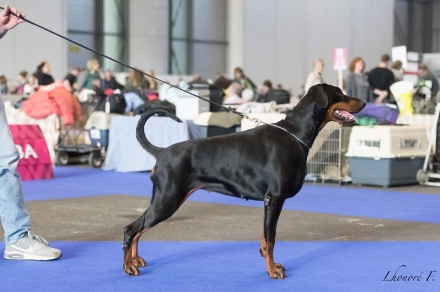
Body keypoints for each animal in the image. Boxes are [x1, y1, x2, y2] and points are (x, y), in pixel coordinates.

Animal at [122, 84, 366, 278]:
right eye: (338, 92)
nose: (364, 102)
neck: (295, 134)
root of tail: (162, 152)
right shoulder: (275, 198)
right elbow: (271, 240)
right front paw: (272, 271)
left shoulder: (269, 201)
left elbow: (265, 240)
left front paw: (272, 264)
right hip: (168, 199)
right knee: (131, 229)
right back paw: (128, 266)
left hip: (166, 198)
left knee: (139, 227)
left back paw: (135, 260)